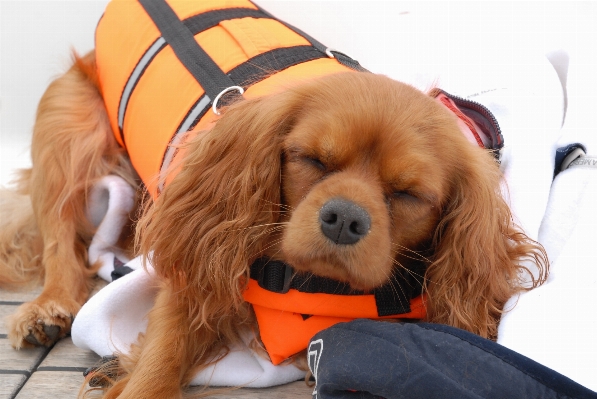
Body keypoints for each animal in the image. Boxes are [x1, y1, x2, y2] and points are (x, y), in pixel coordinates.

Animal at [0, 1, 548, 398]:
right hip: (65, 129)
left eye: (409, 194)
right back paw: (47, 308)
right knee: (59, 237)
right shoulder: (198, 273)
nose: (343, 218)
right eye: (312, 159)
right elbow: (160, 358)